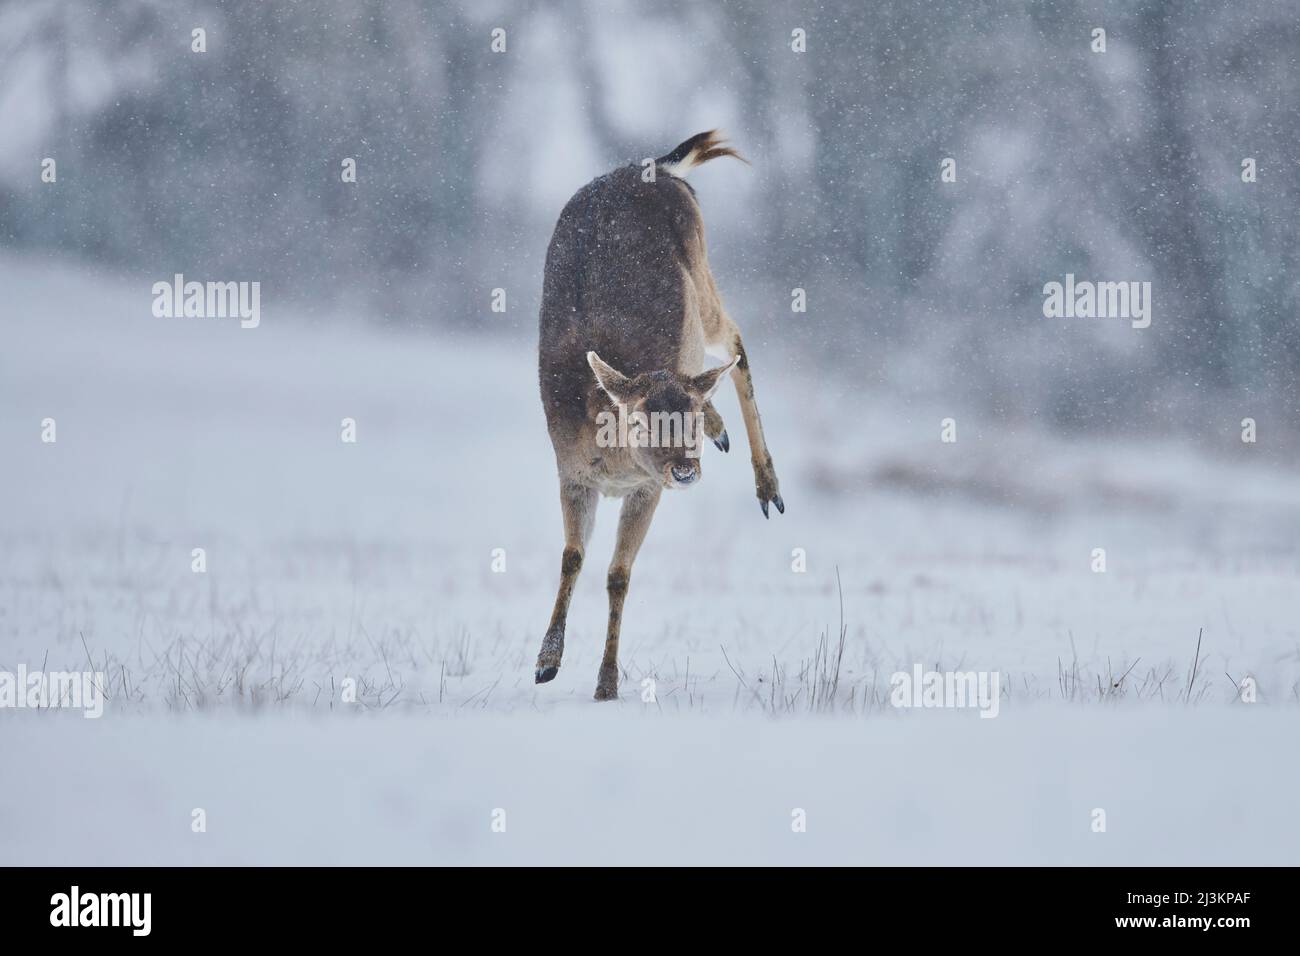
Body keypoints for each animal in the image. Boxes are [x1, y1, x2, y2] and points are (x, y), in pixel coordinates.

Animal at [535, 130, 780, 697]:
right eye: (642, 420)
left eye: (682, 422)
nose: (686, 470)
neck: (615, 467)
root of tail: (660, 167)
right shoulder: (569, 472)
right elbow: (572, 556)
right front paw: (546, 661)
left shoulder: (648, 489)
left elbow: (618, 575)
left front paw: (606, 682)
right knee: (718, 360)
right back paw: (724, 435)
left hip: (702, 269)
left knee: (735, 341)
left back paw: (767, 486)